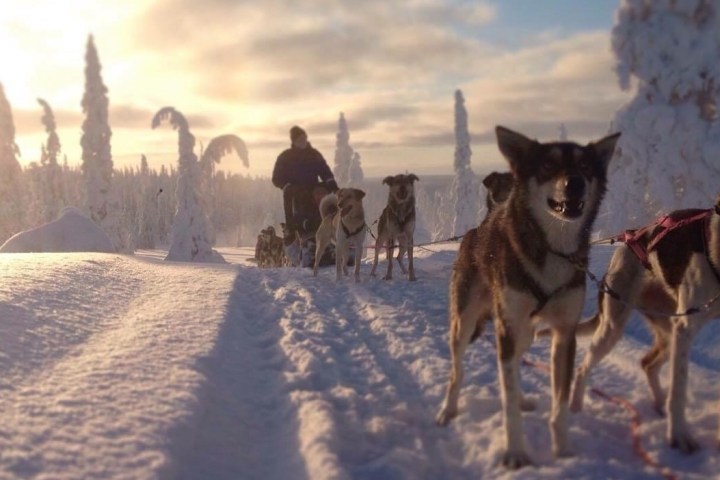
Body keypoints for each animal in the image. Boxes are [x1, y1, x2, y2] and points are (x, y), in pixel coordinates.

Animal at [434, 124, 620, 468]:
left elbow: (559, 404)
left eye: (585, 166)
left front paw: (564, 451)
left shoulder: (564, 335)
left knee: (513, 365)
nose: (575, 182)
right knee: (458, 372)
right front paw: (515, 454)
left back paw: (520, 399)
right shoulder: (507, 328)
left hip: (526, 333)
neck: (553, 249)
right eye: (548, 165)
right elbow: (506, 399)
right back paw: (447, 410)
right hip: (467, 326)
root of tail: (476, 232)